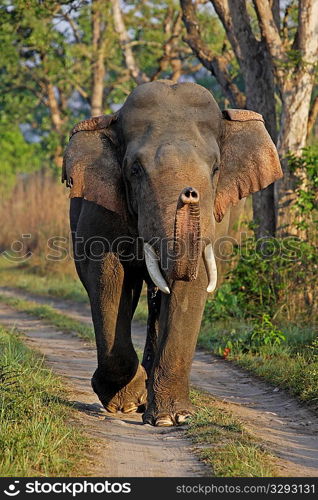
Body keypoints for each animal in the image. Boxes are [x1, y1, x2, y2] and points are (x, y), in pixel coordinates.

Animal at [62, 81, 284, 426]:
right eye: (135, 170)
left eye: (216, 168)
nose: (189, 194)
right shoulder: (101, 210)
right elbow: (107, 277)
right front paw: (127, 403)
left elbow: (193, 283)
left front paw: (172, 418)